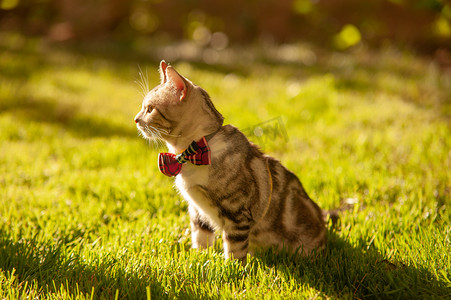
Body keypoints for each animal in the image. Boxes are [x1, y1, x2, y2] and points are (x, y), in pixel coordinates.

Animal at [134, 61, 328, 262]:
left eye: (150, 109)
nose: (136, 120)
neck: (191, 153)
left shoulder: (237, 214)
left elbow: (235, 249)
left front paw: (230, 267)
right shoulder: (197, 211)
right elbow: (201, 238)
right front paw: (200, 258)